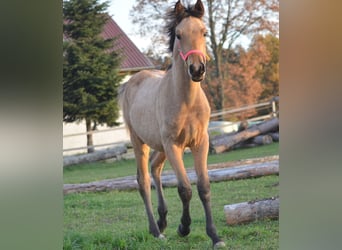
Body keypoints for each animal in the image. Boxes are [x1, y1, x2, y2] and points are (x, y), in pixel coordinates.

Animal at [119, 0, 226, 248]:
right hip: (140, 142)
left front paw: (215, 236)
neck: (186, 101)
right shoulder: (174, 146)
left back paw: (162, 220)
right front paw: (184, 228)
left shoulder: (200, 143)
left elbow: (204, 187)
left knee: (155, 168)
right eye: (178, 34)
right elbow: (185, 188)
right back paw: (156, 230)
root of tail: (131, 82)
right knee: (143, 180)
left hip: (160, 147)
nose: (196, 69)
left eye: (204, 32)